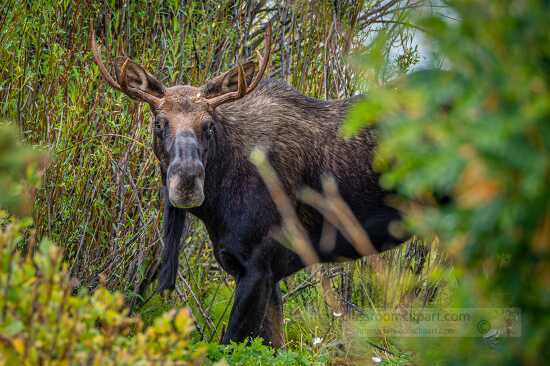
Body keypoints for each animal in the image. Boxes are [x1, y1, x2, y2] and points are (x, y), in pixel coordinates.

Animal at [91, 25, 406, 346]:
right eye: (158, 123)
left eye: (209, 125)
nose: (187, 181)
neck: (217, 200)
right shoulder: (264, 272)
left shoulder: (257, 266)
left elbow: (230, 341)